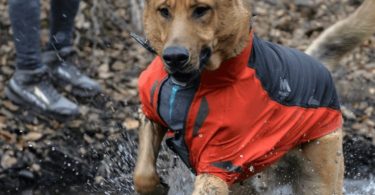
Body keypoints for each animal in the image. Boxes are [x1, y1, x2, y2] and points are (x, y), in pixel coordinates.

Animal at [134, 0, 375, 194]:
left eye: (201, 10)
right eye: (164, 11)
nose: (174, 57)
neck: (191, 85)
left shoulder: (219, 163)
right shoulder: (150, 114)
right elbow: (142, 173)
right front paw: (155, 187)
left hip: (319, 174)